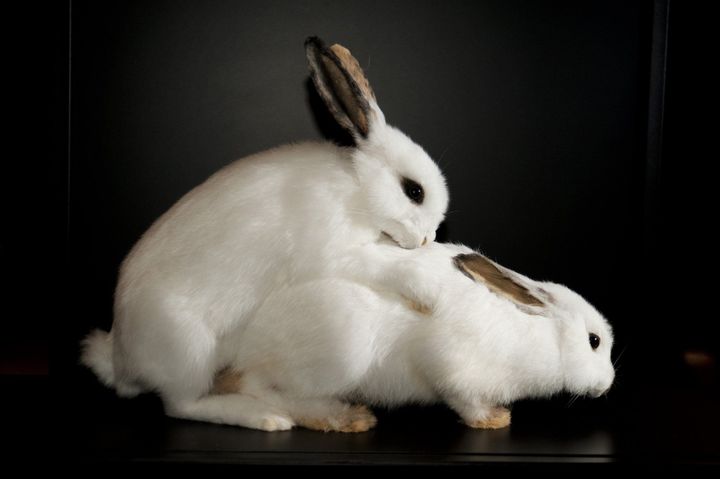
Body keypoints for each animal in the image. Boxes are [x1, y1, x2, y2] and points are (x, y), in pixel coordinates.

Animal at [81, 37, 448, 420]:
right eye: (414, 191)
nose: (428, 238)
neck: (357, 190)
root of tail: (121, 362)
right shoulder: (332, 253)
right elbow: (380, 262)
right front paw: (427, 289)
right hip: (189, 350)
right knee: (182, 405)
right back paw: (263, 416)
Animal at [162, 242, 612, 434]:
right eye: (593, 341)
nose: (608, 385)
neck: (532, 329)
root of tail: (243, 345)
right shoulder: (449, 365)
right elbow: (462, 400)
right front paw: (494, 420)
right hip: (339, 354)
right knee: (264, 391)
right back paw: (342, 418)